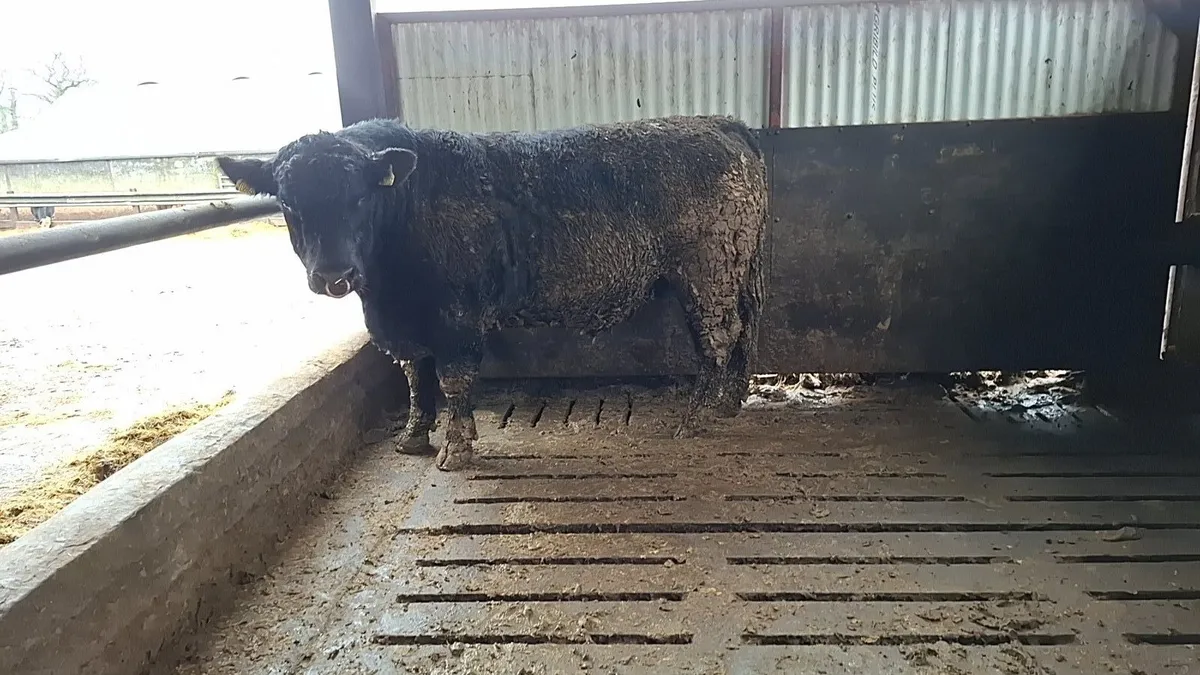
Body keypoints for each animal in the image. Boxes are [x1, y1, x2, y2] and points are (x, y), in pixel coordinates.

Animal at [216, 115, 768, 471]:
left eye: (359, 197)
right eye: (288, 204)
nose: (334, 275)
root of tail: (718, 123)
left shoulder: (456, 318)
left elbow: (453, 381)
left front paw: (455, 450)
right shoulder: (406, 323)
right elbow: (416, 375)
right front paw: (413, 438)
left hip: (707, 271)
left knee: (718, 339)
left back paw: (695, 418)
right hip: (733, 272)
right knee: (743, 332)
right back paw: (727, 404)